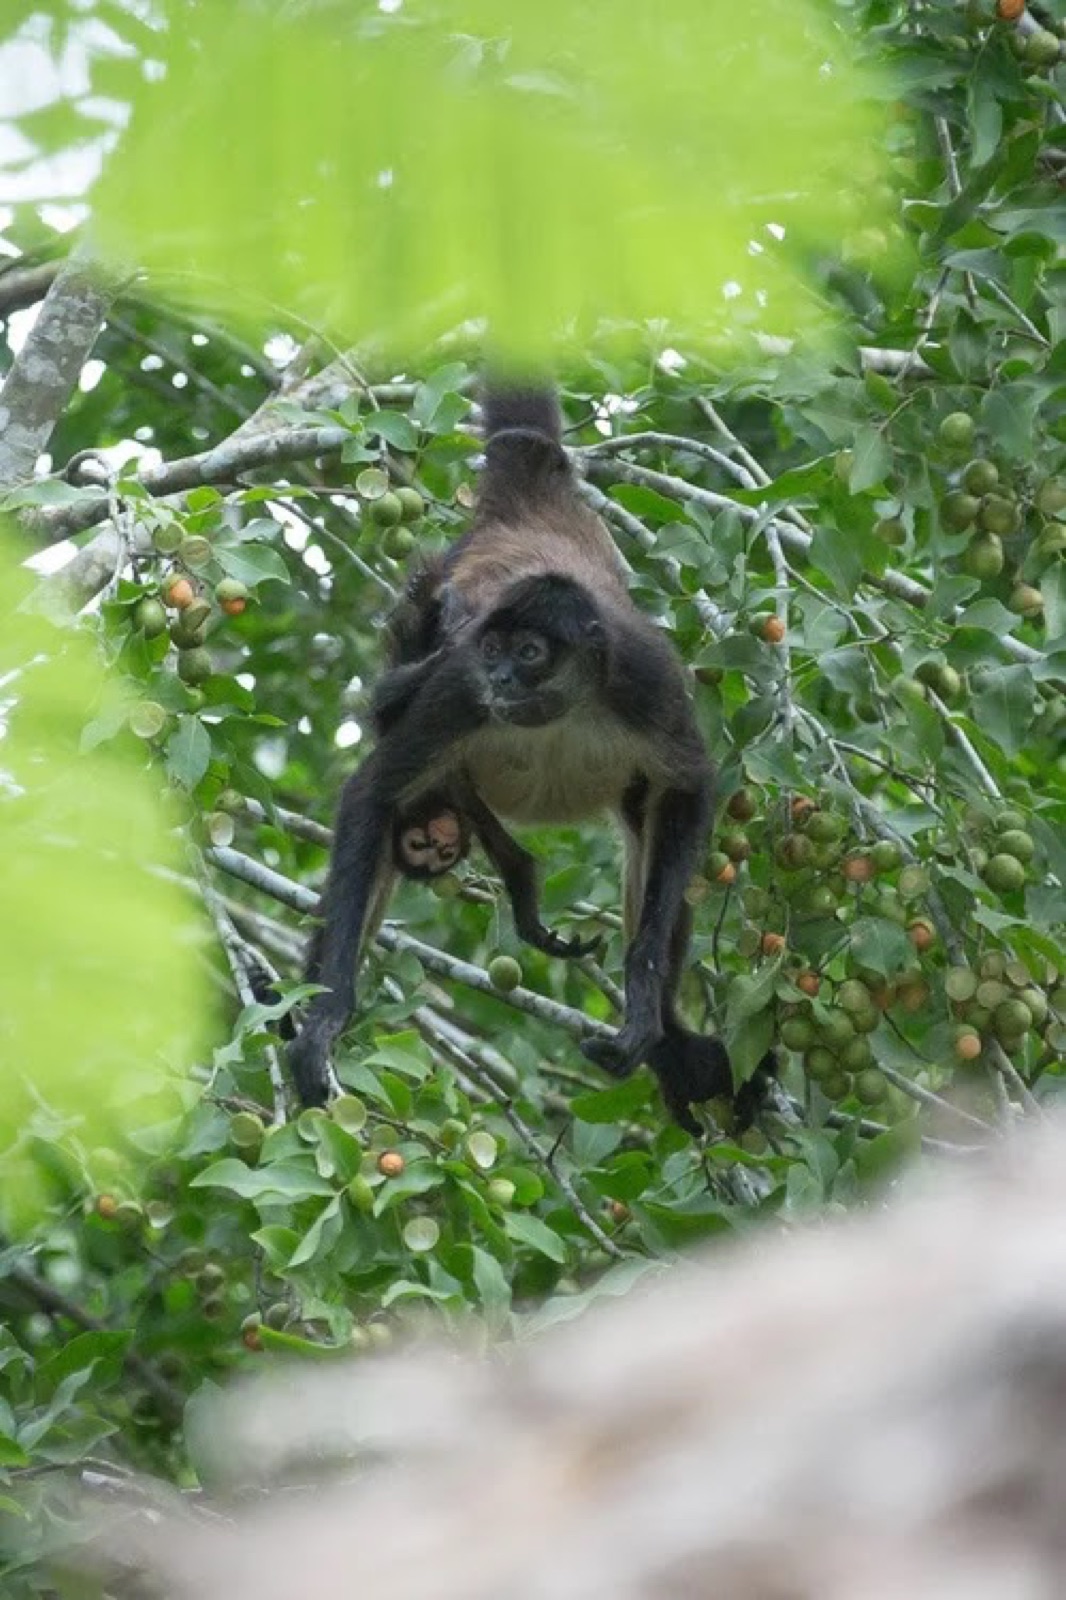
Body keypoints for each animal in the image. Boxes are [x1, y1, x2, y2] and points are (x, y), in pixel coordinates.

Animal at [288, 383, 773, 1133]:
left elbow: (691, 787)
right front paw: (323, 1022)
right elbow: (372, 790)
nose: (503, 680)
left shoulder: (642, 677)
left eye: (530, 653)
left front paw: (643, 1007)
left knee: (651, 822)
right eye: (495, 653)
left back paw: (671, 1045)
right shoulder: (461, 686)